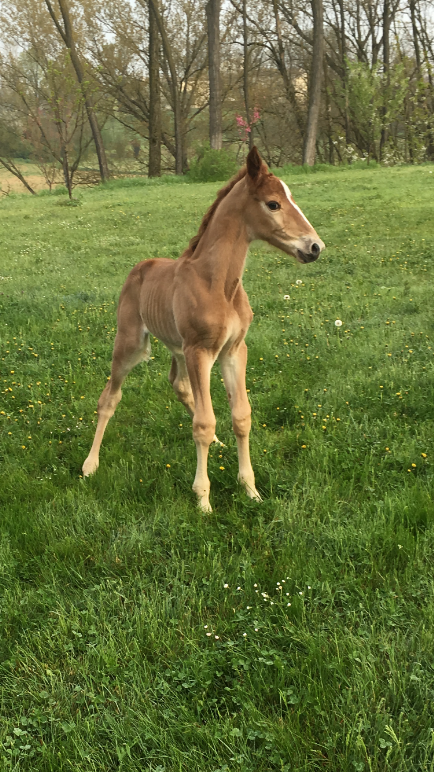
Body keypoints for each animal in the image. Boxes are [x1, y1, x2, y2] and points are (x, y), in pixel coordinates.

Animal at [83, 149, 324, 512]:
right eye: (273, 204)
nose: (315, 247)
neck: (219, 285)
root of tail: (140, 267)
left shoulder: (233, 351)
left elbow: (241, 416)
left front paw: (250, 489)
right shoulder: (200, 351)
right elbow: (203, 422)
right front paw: (203, 501)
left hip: (179, 348)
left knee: (179, 385)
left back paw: (219, 442)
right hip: (131, 344)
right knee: (109, 397)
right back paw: (90, 464)